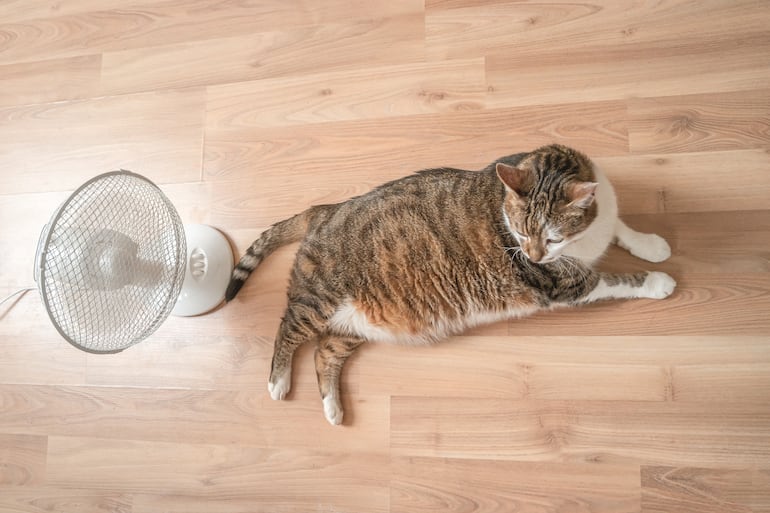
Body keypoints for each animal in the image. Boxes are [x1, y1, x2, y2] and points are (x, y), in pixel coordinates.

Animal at [226, 143, 672, 424]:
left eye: (553, 237)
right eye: (520, 231)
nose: (531, 257)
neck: (583, 240)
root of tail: (324, 210)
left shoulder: (599, 225)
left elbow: (622, 228)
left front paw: (651, 244)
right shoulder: (566, 286)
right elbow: (619, 278)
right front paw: (658, 281)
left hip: (352, 325)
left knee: (324, 354)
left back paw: (333, 409)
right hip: (318, 302)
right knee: (287, 328)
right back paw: (278, 382)